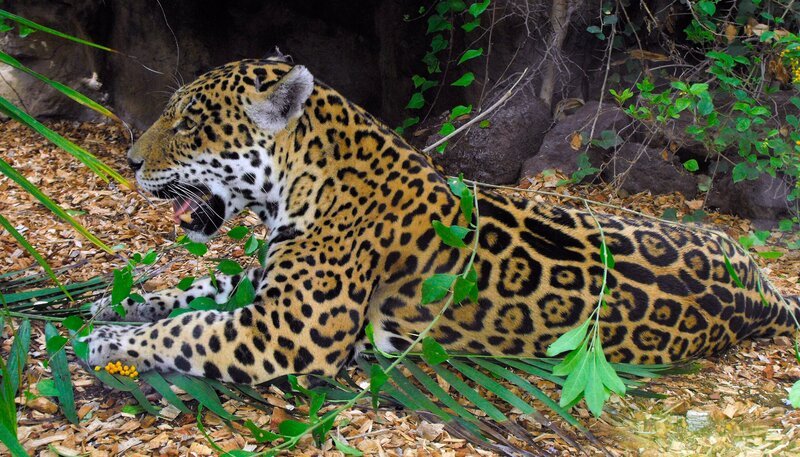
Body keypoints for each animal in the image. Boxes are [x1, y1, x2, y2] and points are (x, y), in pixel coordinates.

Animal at [86, 58, 800, 386]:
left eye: (189, 123)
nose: (129, 161)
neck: (297, 187)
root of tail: (764, 293)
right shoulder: (264, 289)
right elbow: (196, 292)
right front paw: (116, 302)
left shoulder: (286, 332)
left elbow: (189, 328)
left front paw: (108, 340)